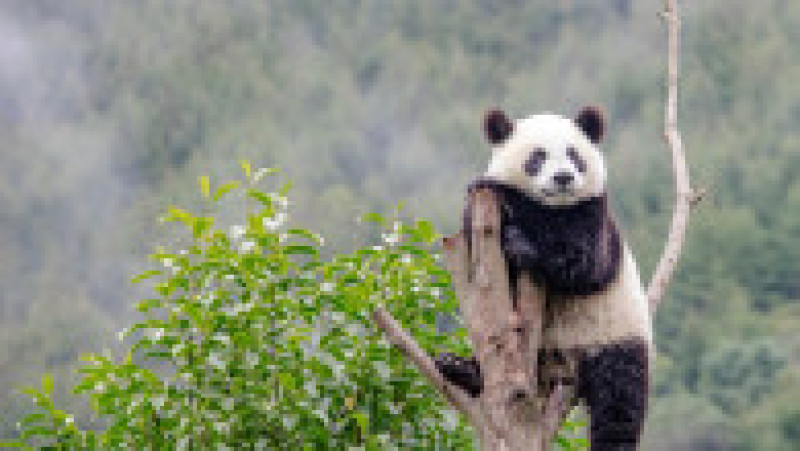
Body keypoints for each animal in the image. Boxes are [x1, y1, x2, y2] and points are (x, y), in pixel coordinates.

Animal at [434, 107, 652, 451]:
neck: (555, 205)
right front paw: (491, 192)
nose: (563, 177)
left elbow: (583, 261)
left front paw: (518, 234)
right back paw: (457, 367)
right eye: (537, 157)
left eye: (574, 155)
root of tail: (562, 367)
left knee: (619, 399)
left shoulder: (593, 215)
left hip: (615, 333)